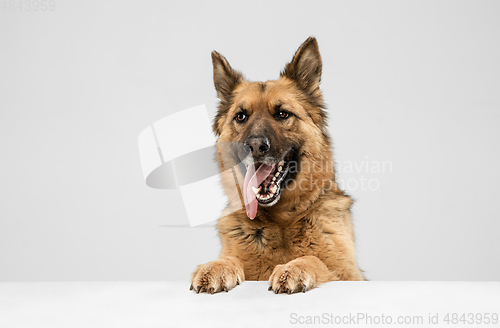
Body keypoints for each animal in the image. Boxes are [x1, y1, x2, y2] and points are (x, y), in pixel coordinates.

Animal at [189, 36, 366, 294]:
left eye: (282, 114)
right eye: (241, 117)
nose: (254, 146)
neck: (280, 220)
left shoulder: (350, 275)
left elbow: (316, 260)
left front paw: (294, 267)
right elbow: (230, 258)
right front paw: (216, 266)